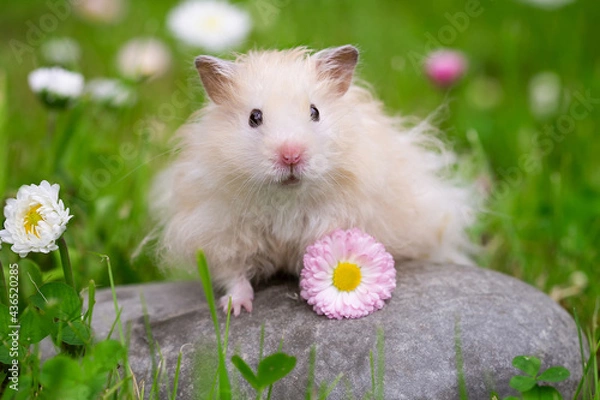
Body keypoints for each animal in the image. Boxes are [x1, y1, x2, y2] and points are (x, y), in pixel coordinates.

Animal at [151, 44, 478, 316]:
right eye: (254, 117)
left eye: (315, 111)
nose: (291, 156)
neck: (285, 198)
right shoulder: (219, 231)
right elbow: (233, 274)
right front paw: (237, 310)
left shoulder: (339, 219)